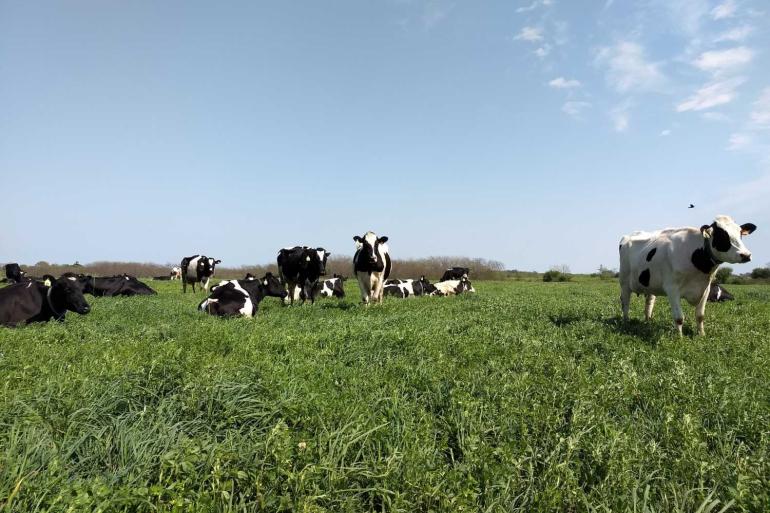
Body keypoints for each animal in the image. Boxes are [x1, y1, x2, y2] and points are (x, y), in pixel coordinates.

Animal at [619, 215, 756, 336]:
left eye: (740, 233)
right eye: (722, 235)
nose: (746, 255)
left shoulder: (706, 289)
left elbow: (700, 316)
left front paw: (702, 334)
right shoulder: (672, 288)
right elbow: (679, 317)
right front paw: (680, 338)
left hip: (650, 284)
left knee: (649, 302)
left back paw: (648, 321)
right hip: (624, 282)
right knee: (625, 302)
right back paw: (626, 322)